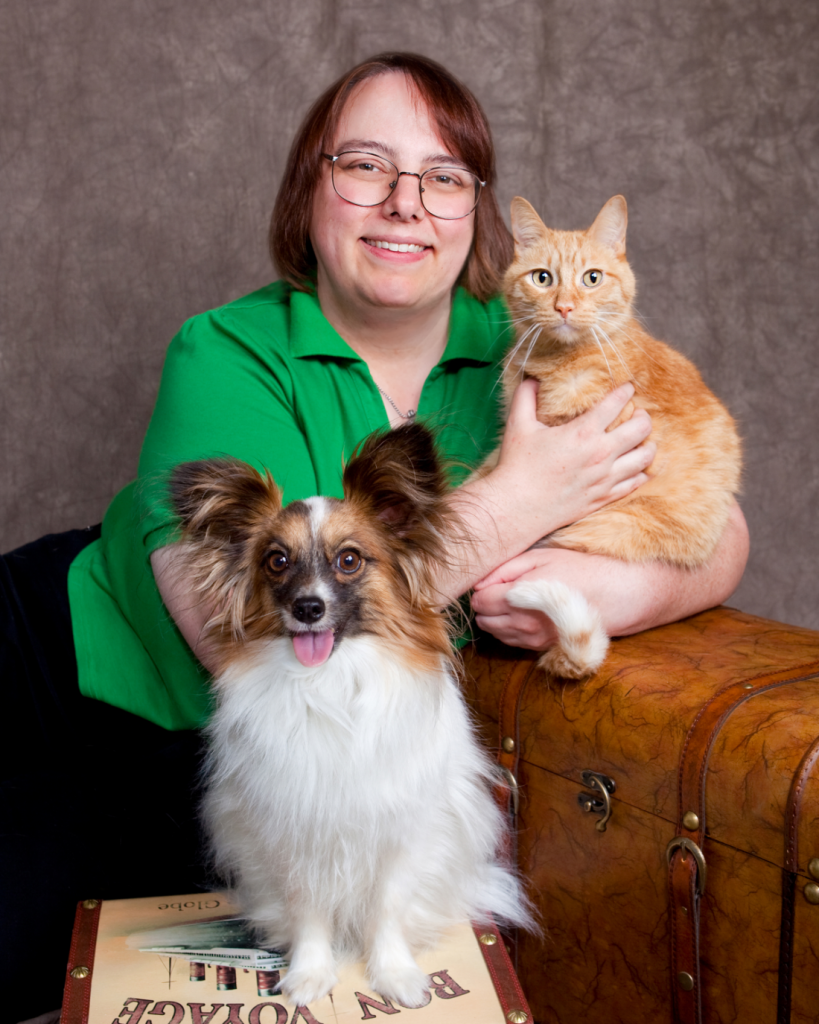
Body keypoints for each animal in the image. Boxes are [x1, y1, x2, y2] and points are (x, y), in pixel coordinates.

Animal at [169, 421, 532, 1007]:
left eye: (349, 561)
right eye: (277, 561)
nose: (308, 608)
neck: (329, 683)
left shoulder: (397, 832)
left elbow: (388, 907)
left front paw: (395, 975)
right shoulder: (295, 831)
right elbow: (309, 910)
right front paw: (310, 975)